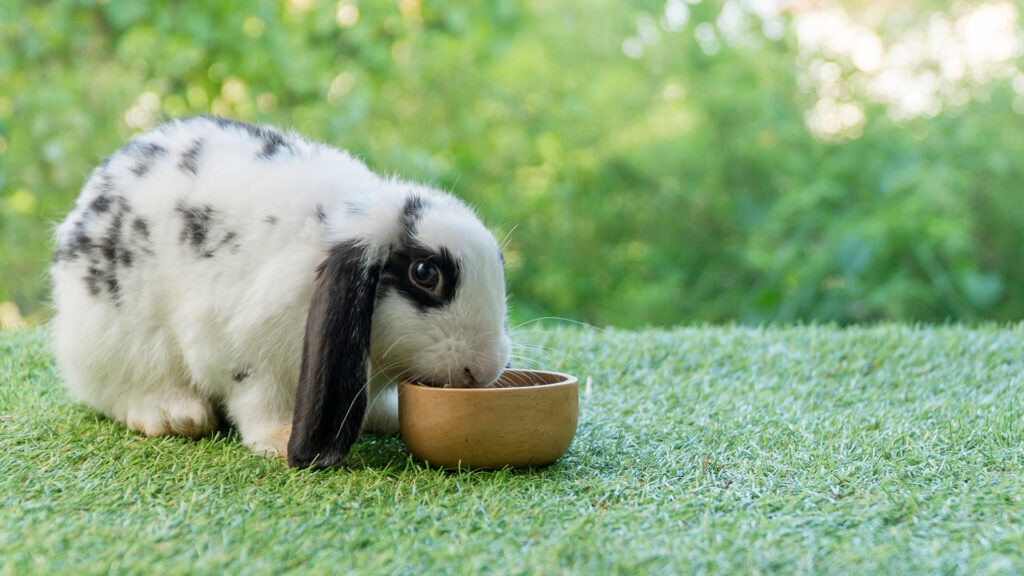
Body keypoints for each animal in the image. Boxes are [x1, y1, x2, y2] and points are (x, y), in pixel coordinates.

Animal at [50, 115, 511, 469]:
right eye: (425, 273)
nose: (484, 369)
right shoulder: (241, 351)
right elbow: (258, 400)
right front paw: (280, 438)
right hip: (120, 341)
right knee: (114, 391)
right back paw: (174, 415)